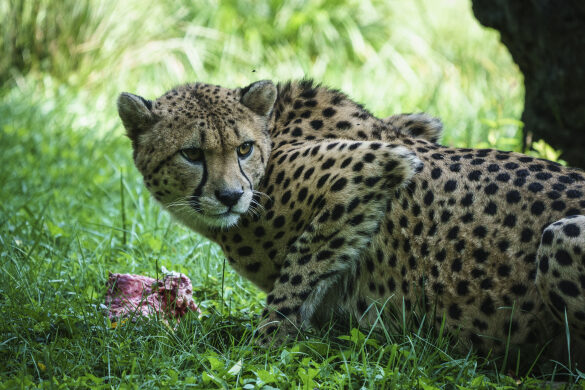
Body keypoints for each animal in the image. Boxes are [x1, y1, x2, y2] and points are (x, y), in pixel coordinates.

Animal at [117, 78, 584, 366]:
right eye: (192, 153)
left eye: (244, 148)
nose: (231, 196)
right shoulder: (415, 128)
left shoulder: (367, 168)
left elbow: (296, 275)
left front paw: (260, 348)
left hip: (561, 236)